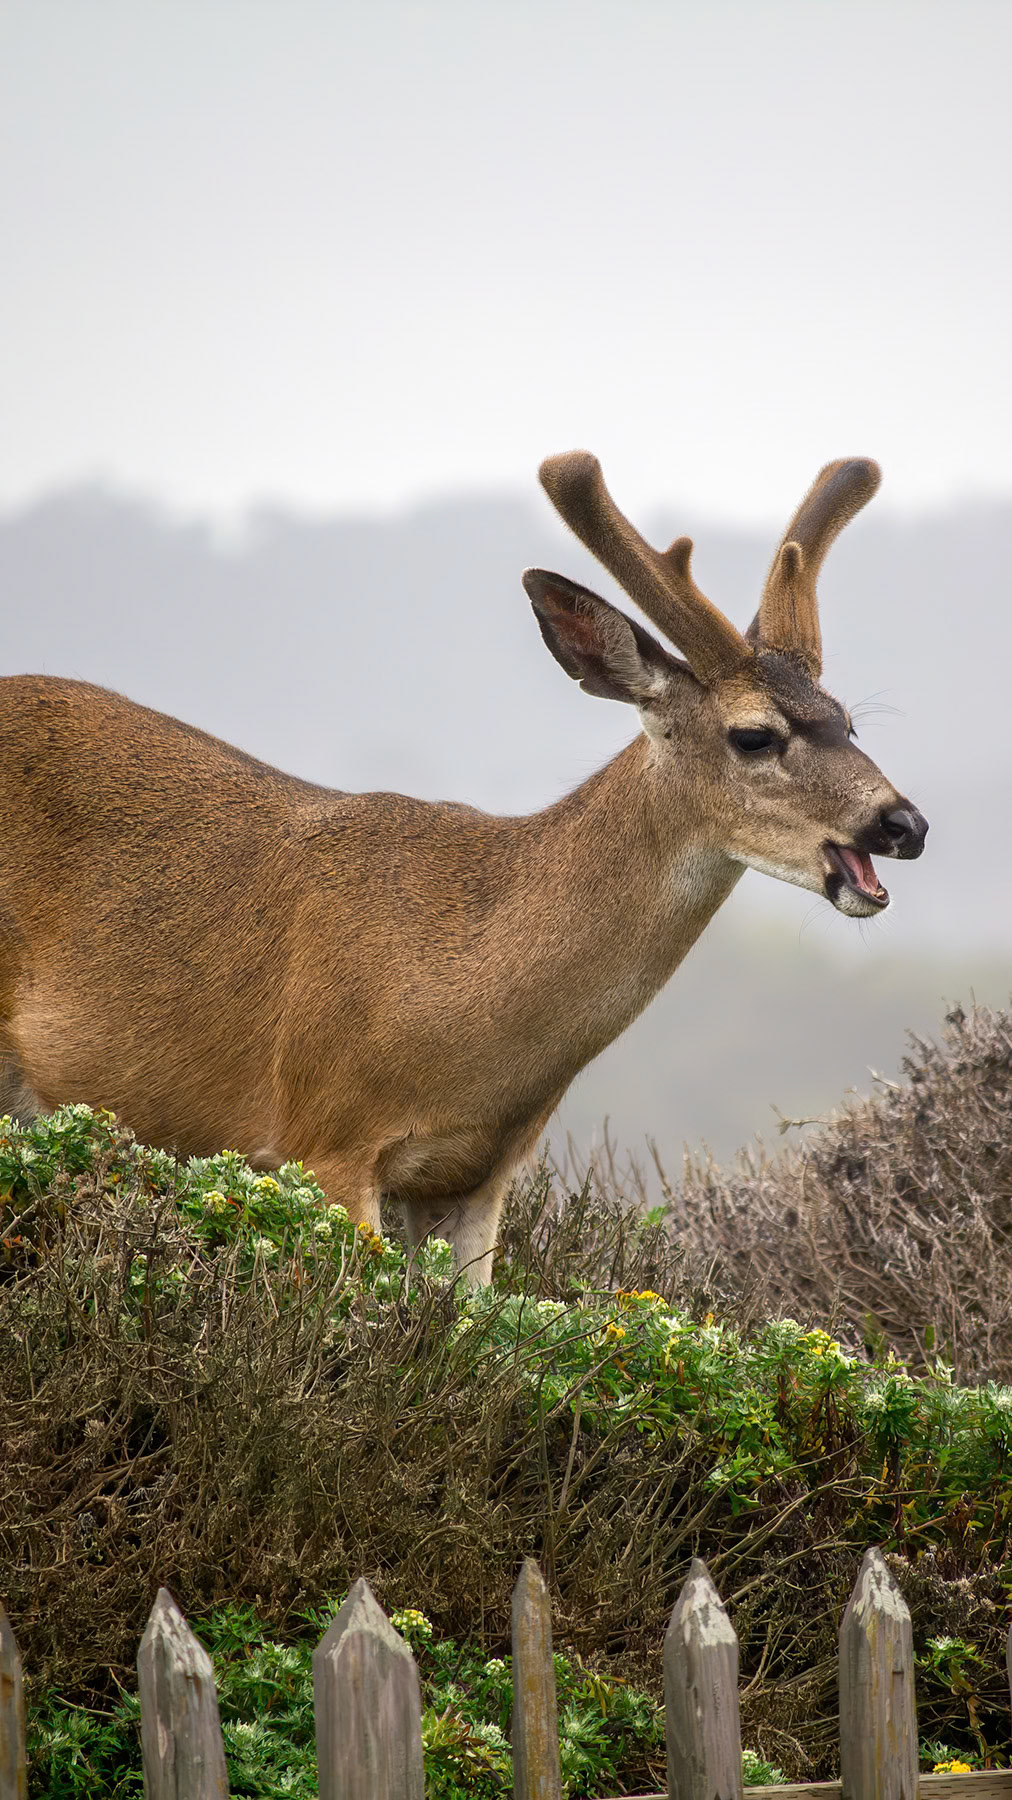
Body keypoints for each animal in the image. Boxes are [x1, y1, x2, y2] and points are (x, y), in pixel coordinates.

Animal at [0, 452, 926, 1281]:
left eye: (848, 719)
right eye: (754, 736)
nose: (904, 823)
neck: (462, 998)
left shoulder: (477, 1177)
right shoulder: (323, 1132)